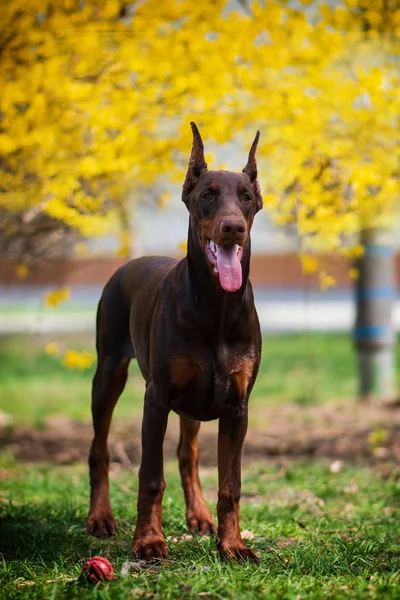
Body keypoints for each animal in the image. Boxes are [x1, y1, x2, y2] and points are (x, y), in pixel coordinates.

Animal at [87, 123, 262, 564]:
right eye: (208, 195)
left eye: (246, 197)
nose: (233, 227)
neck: (216, 307)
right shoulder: (158, 397)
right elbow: (150, 476)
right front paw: (148, 541)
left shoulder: (237, 406)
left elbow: (230, 485)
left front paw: (232, 545)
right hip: (108, 373)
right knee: (99, 449)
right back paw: (100, 518)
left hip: (195, 402)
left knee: (188, 454)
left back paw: (199, 516)